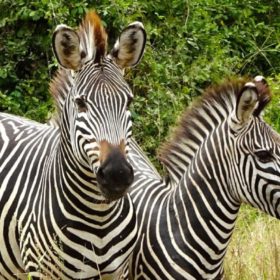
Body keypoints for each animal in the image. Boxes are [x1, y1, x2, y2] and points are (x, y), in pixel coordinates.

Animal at [0, 11, 147, 280]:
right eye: (81, 104)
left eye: (129, 102)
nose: (117, 175)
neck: (99, 216)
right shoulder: (43, 270)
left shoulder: (118, 271)